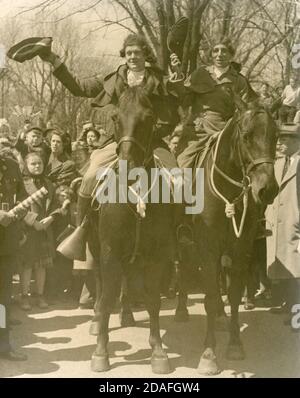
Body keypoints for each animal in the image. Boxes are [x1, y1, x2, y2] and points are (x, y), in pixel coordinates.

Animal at [88, 86, 175, 374]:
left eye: (149, 118)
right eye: (115, 117)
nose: (127, 164)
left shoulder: (157, 256)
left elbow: (153, 300)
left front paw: (158, 351)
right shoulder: (109, 252)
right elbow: (106, 299)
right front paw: (101, 353)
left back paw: (127, 313)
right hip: (97, 250)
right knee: (101, 285)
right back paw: (97, 320)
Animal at [178, 105, 278, 374]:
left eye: (275, 137)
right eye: (246, 136)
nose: (268, 189)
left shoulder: (240, 249)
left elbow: (232, 293)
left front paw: (234, 344)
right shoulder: (207, 248)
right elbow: (210, 297)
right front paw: (208, 354)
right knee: (184, 268)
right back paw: (181, 310)